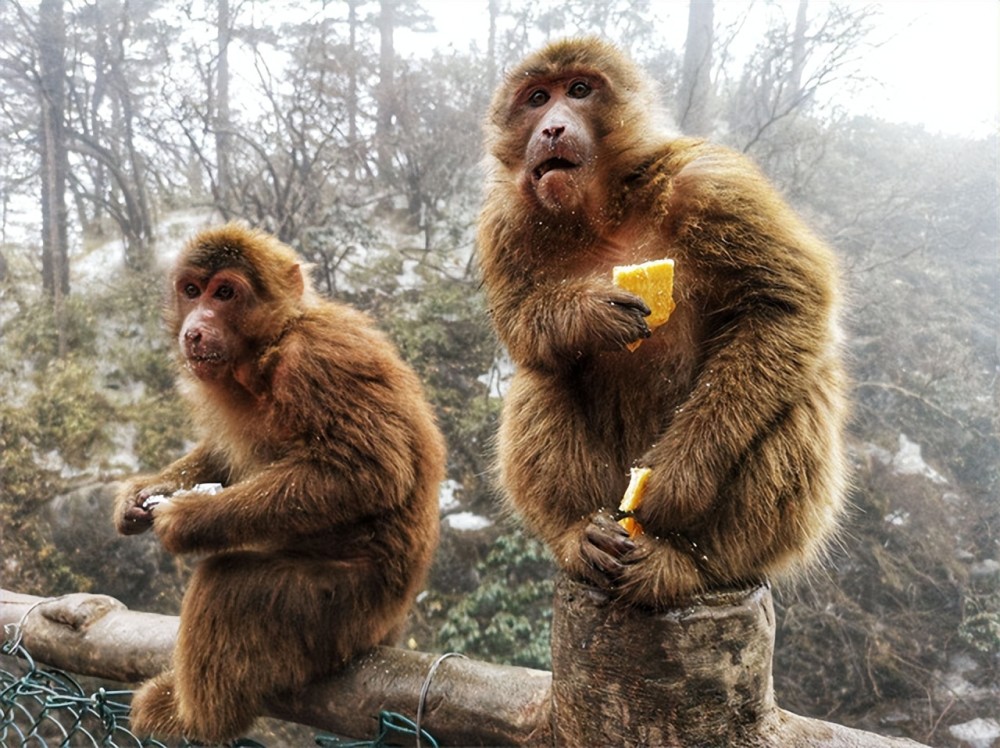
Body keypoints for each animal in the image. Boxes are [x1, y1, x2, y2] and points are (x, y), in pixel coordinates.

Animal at [114, 222, 446, 744]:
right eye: (191, 291)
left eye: (225, 293)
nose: (195, 326)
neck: (266, 353)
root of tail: (392, 624)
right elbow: (223, 457)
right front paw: (139, 496)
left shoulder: (316, 362)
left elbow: (370, 471)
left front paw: (188, 518)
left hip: (345, 610)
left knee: (228, 587)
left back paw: (194, 719)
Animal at [480, 38, 848, 608]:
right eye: (537, 98)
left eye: (579, 90)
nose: (552, 128)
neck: (604, 211)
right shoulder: (505, 221)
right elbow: (519, 324)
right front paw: (589, 316)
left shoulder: (713, 182)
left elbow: (786, 302)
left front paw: (678, 482)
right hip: (610, 483)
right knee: (541, 372)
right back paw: (580, 534)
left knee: (800, 388)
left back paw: (692, 563)